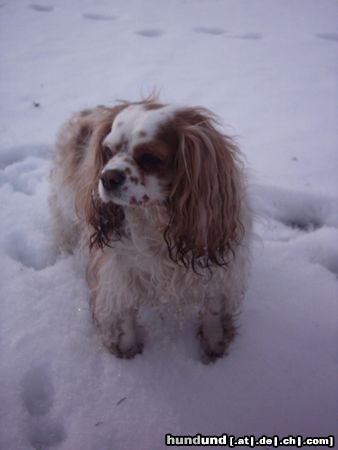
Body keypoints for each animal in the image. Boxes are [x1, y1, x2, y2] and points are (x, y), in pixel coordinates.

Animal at [49, 98, 251, 358]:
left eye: (149, 158)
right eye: (108, 152)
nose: (107, 177)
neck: (156, 219)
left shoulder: (216, 267)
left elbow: (213, 310)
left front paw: (214, 345)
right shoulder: (117, 272)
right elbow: (124, 315)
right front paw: (128, 350)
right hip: (63, 202)